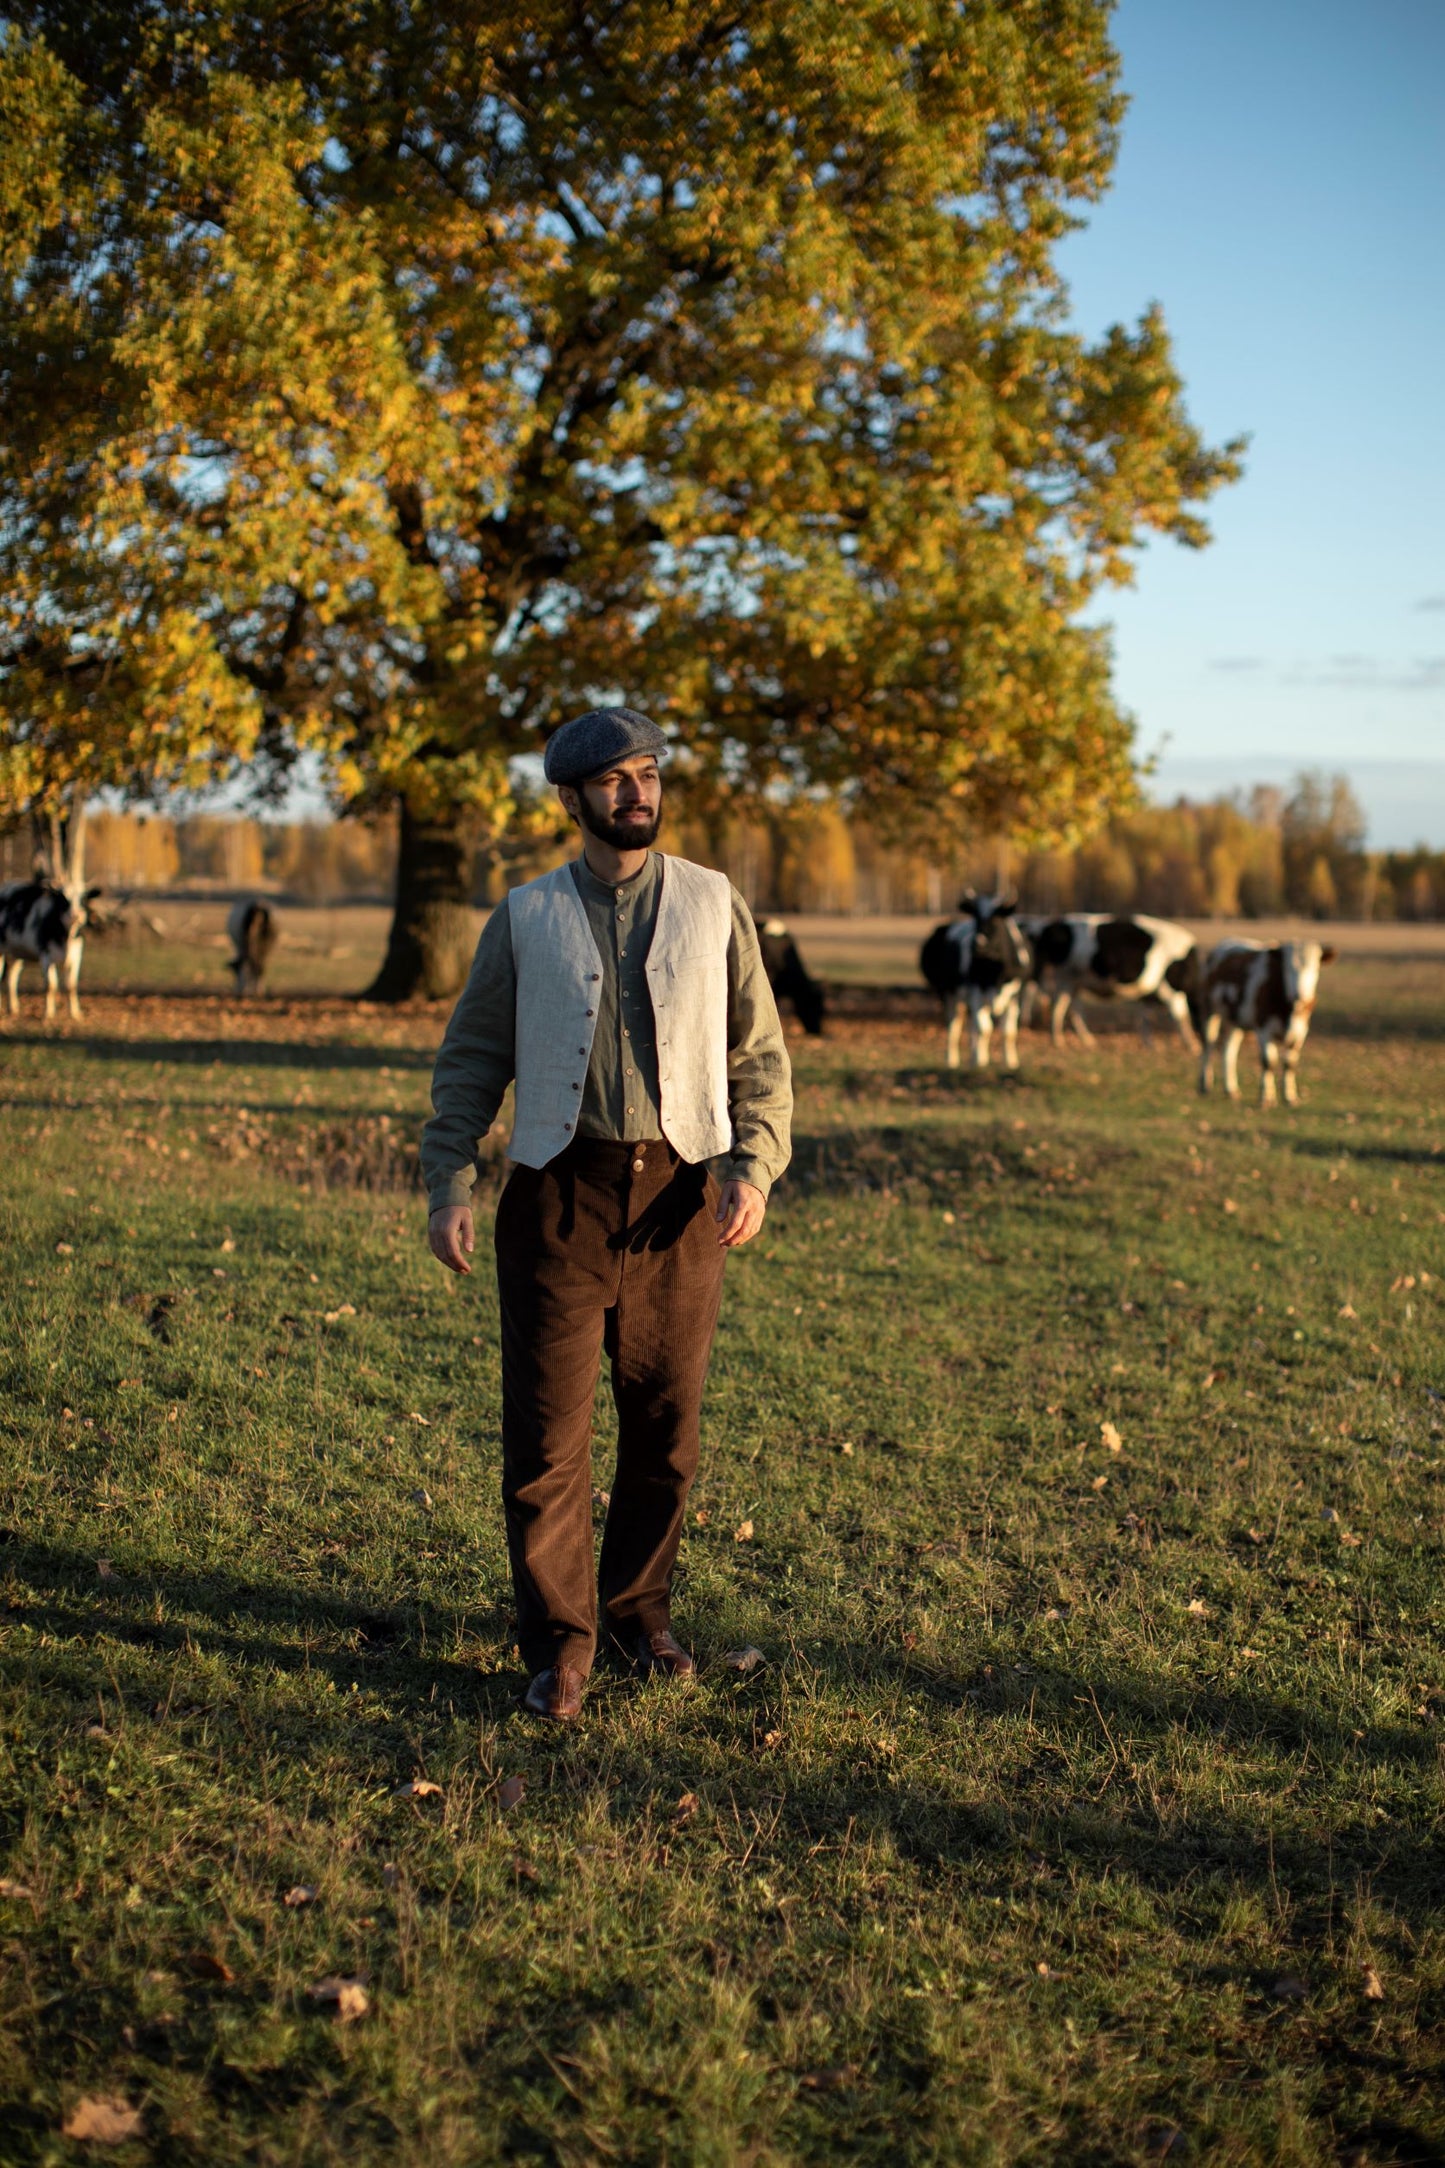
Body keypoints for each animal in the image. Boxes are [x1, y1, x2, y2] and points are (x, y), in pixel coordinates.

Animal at [0, 875, 101, 1018]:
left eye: (83, 898)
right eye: (63, 898)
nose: (76, 915)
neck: (66, 938)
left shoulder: (76, 956)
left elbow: (72, 985)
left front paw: (75, 1013)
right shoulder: (46, 956)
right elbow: (51, 986)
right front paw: (49, 1014)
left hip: (16, 952)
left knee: (12, 977)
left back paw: (13, 1009)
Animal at [922, 893, 1035, 1070]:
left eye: (996, 918)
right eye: (975, 917)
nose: (978, 943)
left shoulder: (1015, 993)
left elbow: (1008, 1032)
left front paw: (1010, 1062)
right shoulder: (975, 991)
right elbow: (984, 1029)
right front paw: (981, 1062)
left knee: (971, 1027)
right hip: (948, 993)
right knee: (954, 1025)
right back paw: (953, 1060)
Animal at [1035, 910, 1204, 1053]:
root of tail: (1056, 923)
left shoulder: (1149, 994)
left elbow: (1145, 1018)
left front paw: (1149, 1045)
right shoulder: (1171, 991)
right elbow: (1181, 1017)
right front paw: (1192, 1045)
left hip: (1074, 981)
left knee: (1074, 1008)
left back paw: (1087, 1040)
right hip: (1066, 977)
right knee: (1059, 1007)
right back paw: (1058, 1041)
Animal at [1195, 936, 1343, 1110]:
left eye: (1314, 968)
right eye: (1287, 968)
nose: (1299, 994)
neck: (1289, 1008)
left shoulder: (1301, 1030)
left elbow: (1290, 1063)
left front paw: (1290, 1097)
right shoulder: (1263, 1028)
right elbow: (1268, 1062)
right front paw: (1266, 1098)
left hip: (1235, 1019)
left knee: (1229, 1050)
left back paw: (1231, 1089)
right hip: (1210, 1009)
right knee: (1208, 1045)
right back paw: (1204, 1085)